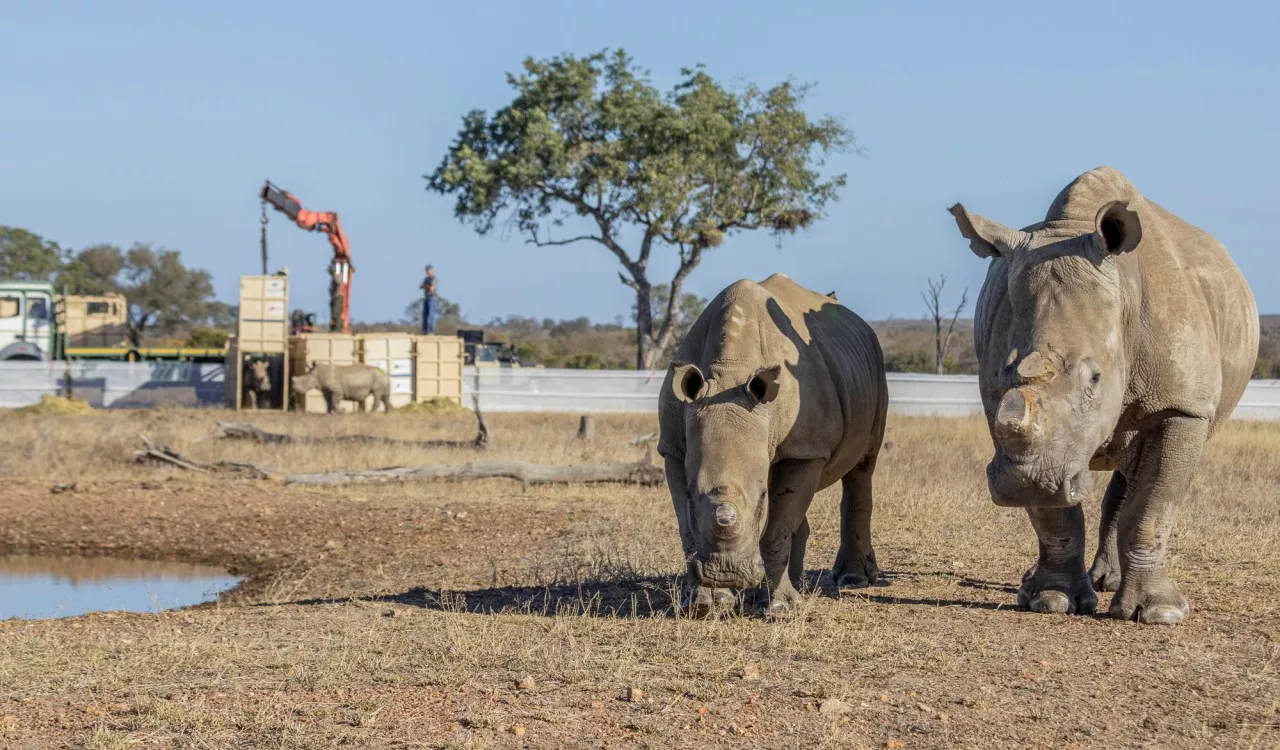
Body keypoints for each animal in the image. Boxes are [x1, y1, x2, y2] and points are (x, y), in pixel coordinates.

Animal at [660, 271, 890, 609]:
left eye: (762, 498)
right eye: (691, 495)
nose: (725, 573)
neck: (729, 374)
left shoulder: (806, 449)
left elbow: (777, 527)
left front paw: (780, 608)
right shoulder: (673, 448)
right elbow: (687, 529)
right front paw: (705, 603)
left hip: (873, 366)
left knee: (862, 467)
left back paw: (851, 579)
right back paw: (790, 585)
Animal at [952, 166, 1259, 622]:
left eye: (1095, 379)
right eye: (1003, 372)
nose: (1025, 483)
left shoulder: (1183, 407)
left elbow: (1153, 504)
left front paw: (1159, 613)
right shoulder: (1009, 416)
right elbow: (1056, 517)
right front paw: (1052, 600)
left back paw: (1112, 585)